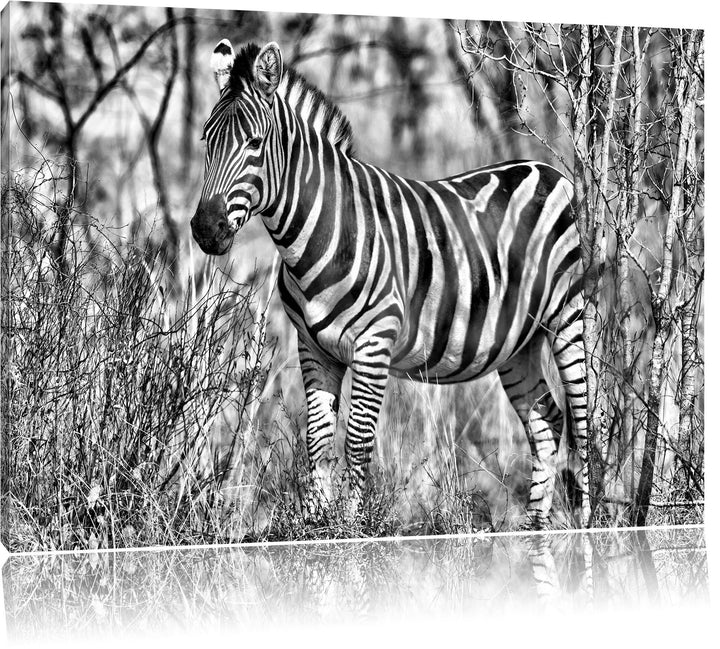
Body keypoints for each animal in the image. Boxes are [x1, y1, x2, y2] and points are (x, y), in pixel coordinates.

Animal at [191, 39, 591, 529]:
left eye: (254, 143)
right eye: (206, 141)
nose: (205, 230)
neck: (321, 230)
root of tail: (546, 169)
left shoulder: (374, 343)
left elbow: (358, 443)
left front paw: (352, 530)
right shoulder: (313, 347)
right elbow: (318, 440)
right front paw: (314, 525)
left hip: (566, 315)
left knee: (582, 419)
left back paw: (589, 525)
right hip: (518, 341)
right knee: (546, 421)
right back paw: (535, 528)